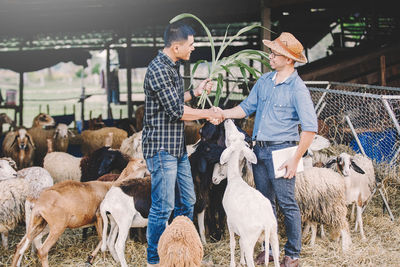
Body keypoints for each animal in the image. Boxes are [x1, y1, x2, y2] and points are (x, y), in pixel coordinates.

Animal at [219, 120, 278, 267]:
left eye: (230, 138)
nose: (228, 120)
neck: (235, 177)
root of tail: (266, 222)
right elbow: (239, 242)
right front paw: (241, 261)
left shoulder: (229, 221)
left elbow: (233, 243)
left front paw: (233, 263)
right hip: (274, 234)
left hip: (250, 238)